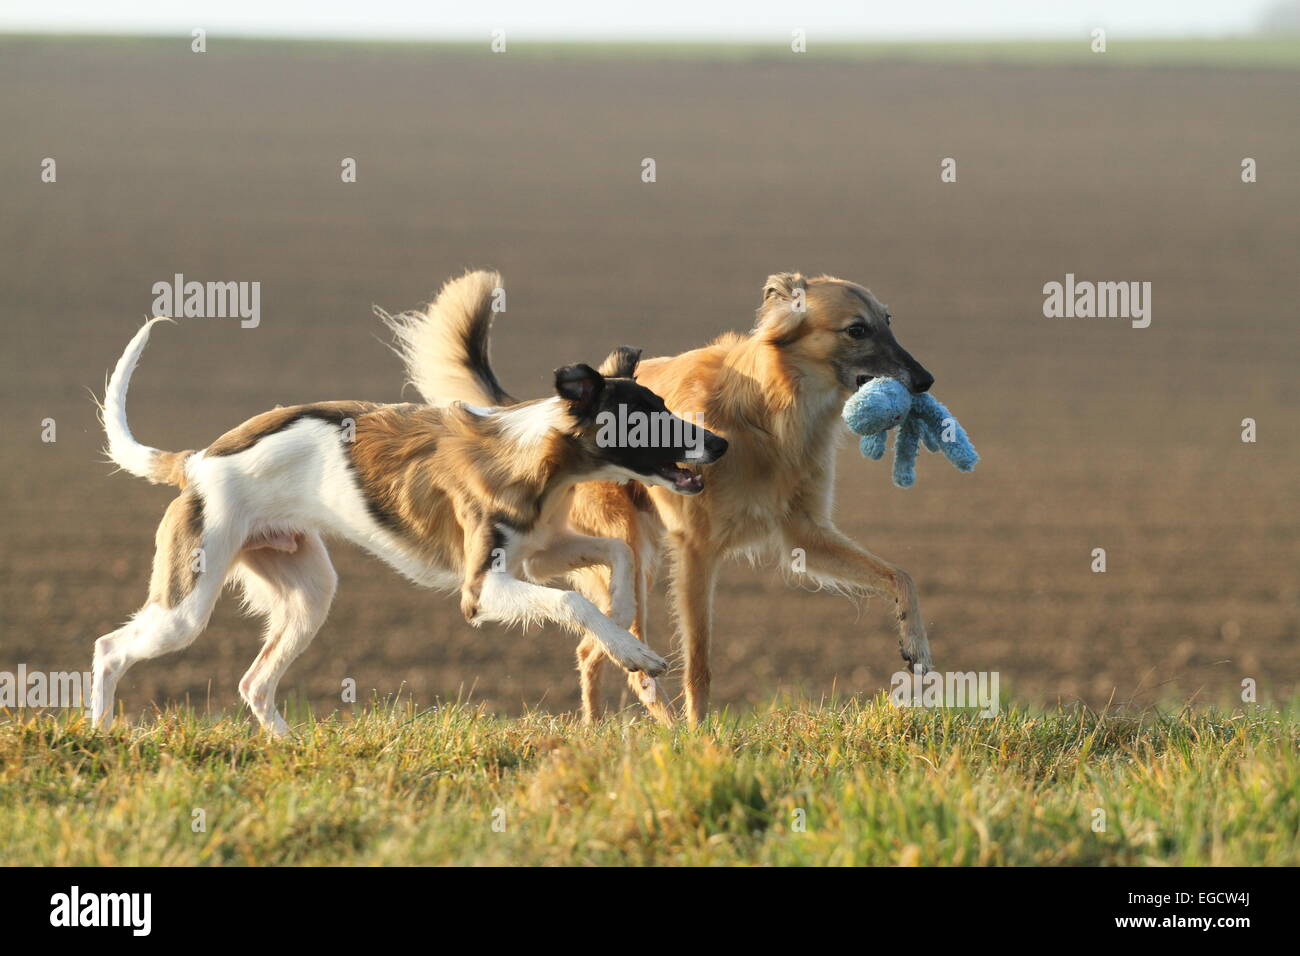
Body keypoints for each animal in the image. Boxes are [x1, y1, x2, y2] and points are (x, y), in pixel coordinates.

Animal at [89, 273, 722, 738]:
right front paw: (631, 648)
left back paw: (290, 749)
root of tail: (197, 461)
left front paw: (625, 630)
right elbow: (572, 600)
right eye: (645, 420)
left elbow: (616, 556)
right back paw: (100, 731)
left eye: (666, 406)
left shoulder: (538, 552)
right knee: (109, 649)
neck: (538, 456)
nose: (720, 445)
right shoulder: (481, 588)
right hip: (187, 605)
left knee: (254, 684)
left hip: (308, 591)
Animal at [395, 269, 935, 723]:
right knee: (621, 658)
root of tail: (551, 411)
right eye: (856, 330)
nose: (927, 380)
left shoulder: (805, 537)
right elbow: (698, 666)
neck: (768, 415)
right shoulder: (696, 551)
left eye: (888, 322)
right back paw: (650, 729)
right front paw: (700, 741)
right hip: (635, 553)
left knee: (594, 650)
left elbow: (902, 575)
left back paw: (598, 731)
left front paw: (917, 646)